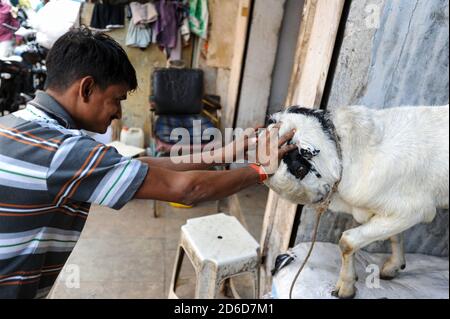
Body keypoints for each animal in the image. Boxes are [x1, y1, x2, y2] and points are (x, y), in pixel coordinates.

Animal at [266, 105, 448, 300]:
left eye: (300, 168)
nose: (320, 198)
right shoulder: (392, 211)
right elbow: (395, 236)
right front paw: (393, 267)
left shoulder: (414, 210)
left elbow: (348, 241)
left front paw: (345, 288)